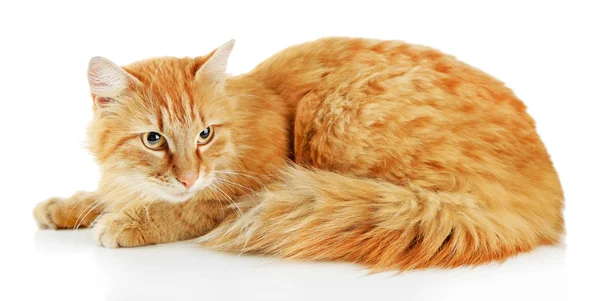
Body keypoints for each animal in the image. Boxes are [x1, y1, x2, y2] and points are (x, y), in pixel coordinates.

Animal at [35, 37, 564, 270]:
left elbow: (181, 211)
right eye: (154, 140)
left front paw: (127, 222)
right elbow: (104, 194)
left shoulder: (241, 190)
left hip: (333, 115)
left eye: (204, 134)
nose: (188, 177)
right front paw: (65, 207)